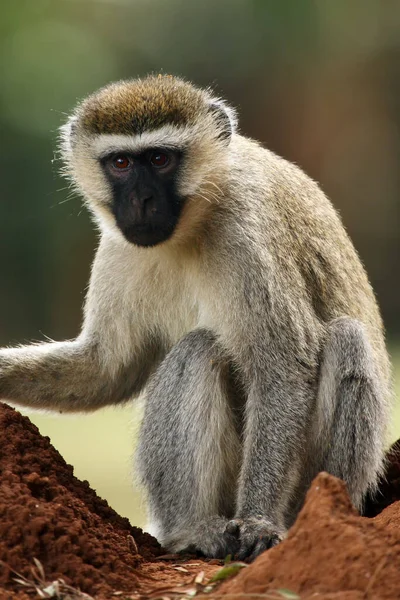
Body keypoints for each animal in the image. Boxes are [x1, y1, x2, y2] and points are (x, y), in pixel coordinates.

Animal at [0, 76, 390, 564]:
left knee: (335, 339)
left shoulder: (248, 233)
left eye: (161, 159)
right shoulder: (119, 247)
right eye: (121, 163)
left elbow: (282, 369)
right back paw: (192, 530)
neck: (197, 218)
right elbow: (106, 369)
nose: (142, 200)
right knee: (200, 352)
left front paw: (259, 520)